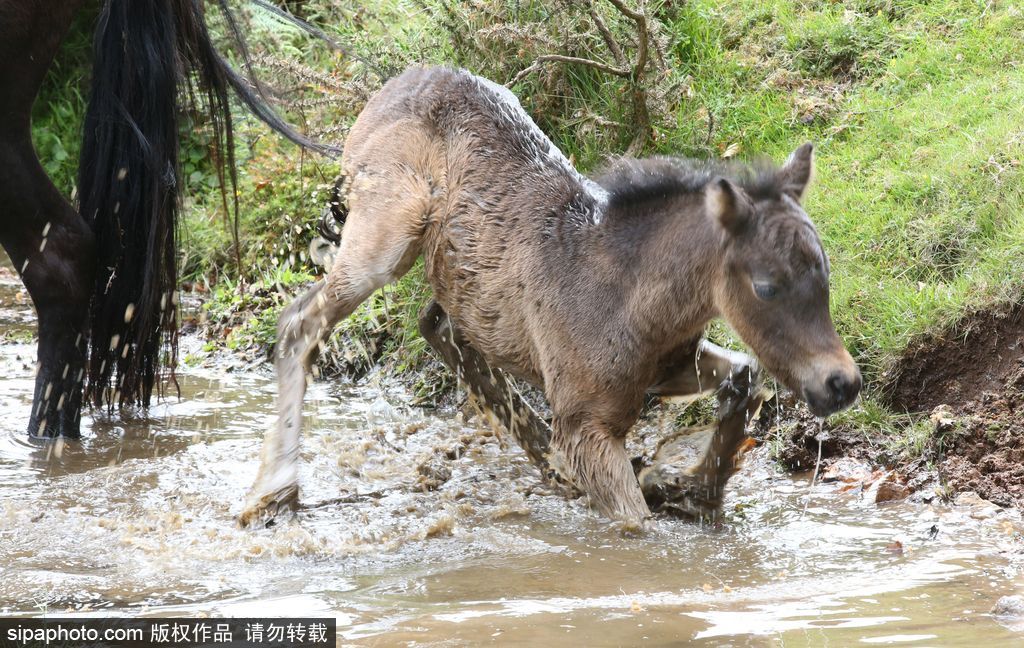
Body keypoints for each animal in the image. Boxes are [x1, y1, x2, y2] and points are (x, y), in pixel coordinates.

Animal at [239, 65, 862, 526]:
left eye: (825, 273)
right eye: (766, 286)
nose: (842, 383)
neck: (631, 297)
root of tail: (382, 94)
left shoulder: (667, 369)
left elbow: (746, 375)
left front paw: (694, 490)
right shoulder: (588, 427)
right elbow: (635, 528)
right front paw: (674, 491)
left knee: (439, 324)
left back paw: (550, 463)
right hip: (386, 235)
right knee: (300, 322)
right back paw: (274, 493)